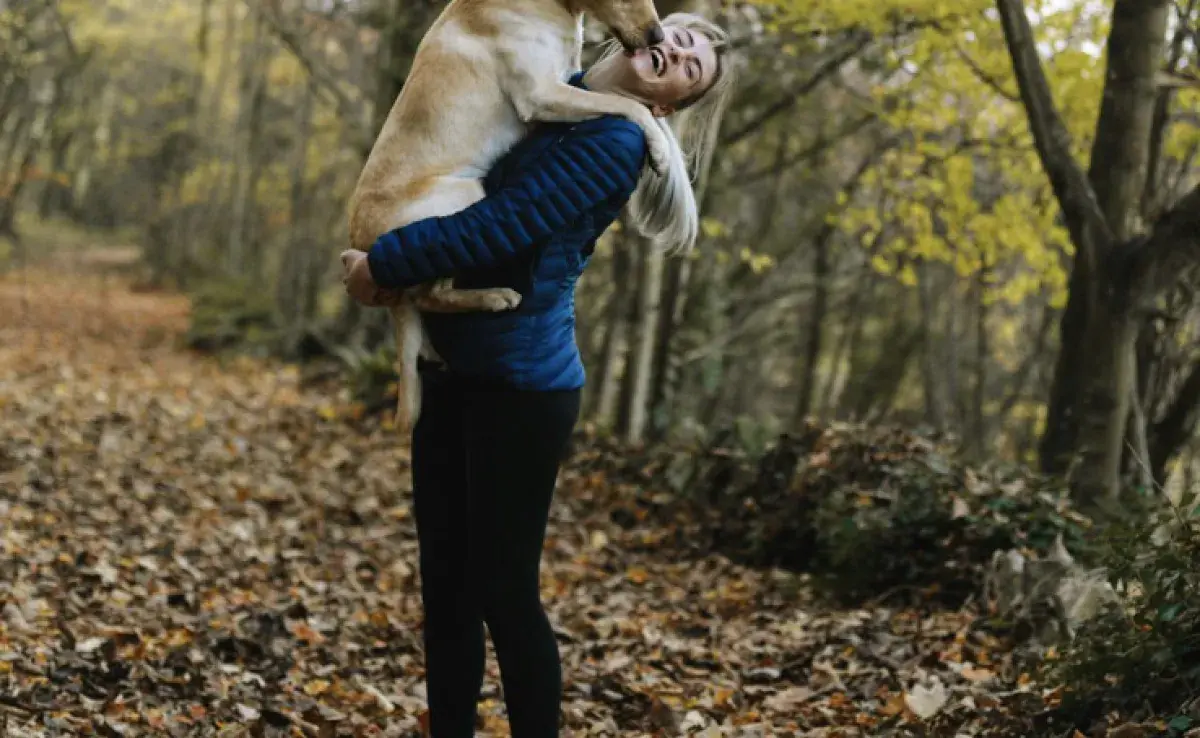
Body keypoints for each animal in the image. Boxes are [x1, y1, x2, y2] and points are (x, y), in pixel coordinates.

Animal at [348, 0, 672, 436]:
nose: (658, 37)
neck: (558, 10)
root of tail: (363, 244)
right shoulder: (543, 94)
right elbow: (627, 104)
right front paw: (658, 144)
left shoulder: (565, 83)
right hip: (466, 194)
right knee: (432, 294)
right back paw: (493, 296)